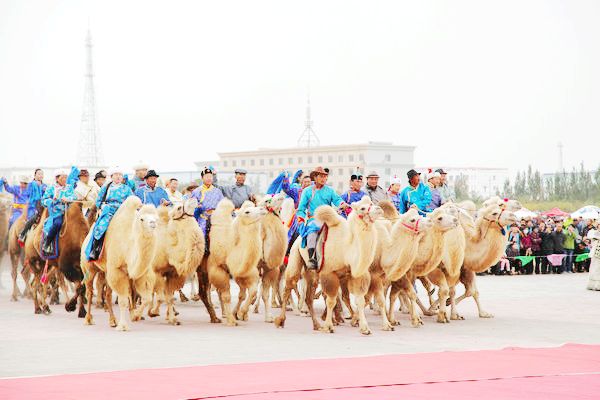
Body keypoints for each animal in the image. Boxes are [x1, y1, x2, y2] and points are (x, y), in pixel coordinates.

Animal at [81, 197, 159, 332]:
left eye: (156, 217)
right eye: (141, 219)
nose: (153, 223)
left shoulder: (141, 273)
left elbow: (146, 298)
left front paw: (136, 316)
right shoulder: (118, 270)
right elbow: (123, 300)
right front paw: (123, 326)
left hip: (106, 271)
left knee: (108, 294)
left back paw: (112, 321)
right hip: (89, 269)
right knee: (89, 292)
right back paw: (88, 319)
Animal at [207, 198, 266, 326]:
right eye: (247, 212)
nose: (263, 209)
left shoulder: (243, 272)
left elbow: (250, 292)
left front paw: (240, 313)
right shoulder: (217, 270)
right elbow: (227, 296)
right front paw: (232, 319)